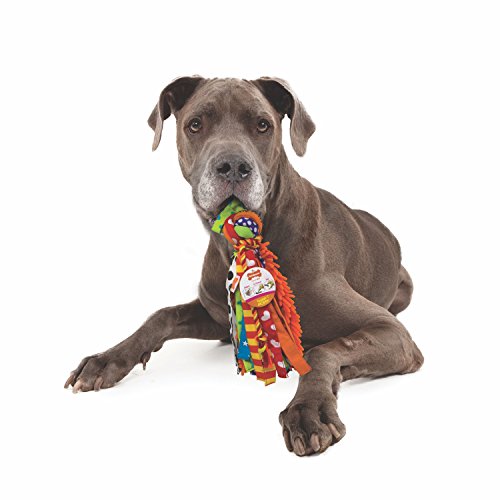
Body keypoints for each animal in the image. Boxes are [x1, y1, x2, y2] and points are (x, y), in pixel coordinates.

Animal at [64, 76, 424, 456]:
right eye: (195, 124)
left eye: (263, 125)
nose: (233, 166)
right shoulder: (218, 317)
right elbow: (162, 316)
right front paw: (107, 359)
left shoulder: (391, 331)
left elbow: (325, 350)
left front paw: (308, 409)